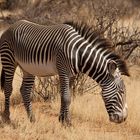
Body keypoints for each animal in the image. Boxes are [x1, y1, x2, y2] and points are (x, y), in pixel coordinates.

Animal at [0, 19, 129, 124]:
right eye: (122, 92)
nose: (123, 119)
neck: (79, 53)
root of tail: (11, 26)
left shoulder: (70, 75)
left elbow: (66, 96)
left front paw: (62, 119)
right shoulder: (63, 71)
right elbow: (66, 97)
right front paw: (67, 122)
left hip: (28, 68)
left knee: (25, 91)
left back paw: (32, 118)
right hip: (9, 60)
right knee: (8, 88)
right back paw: (7, 117)